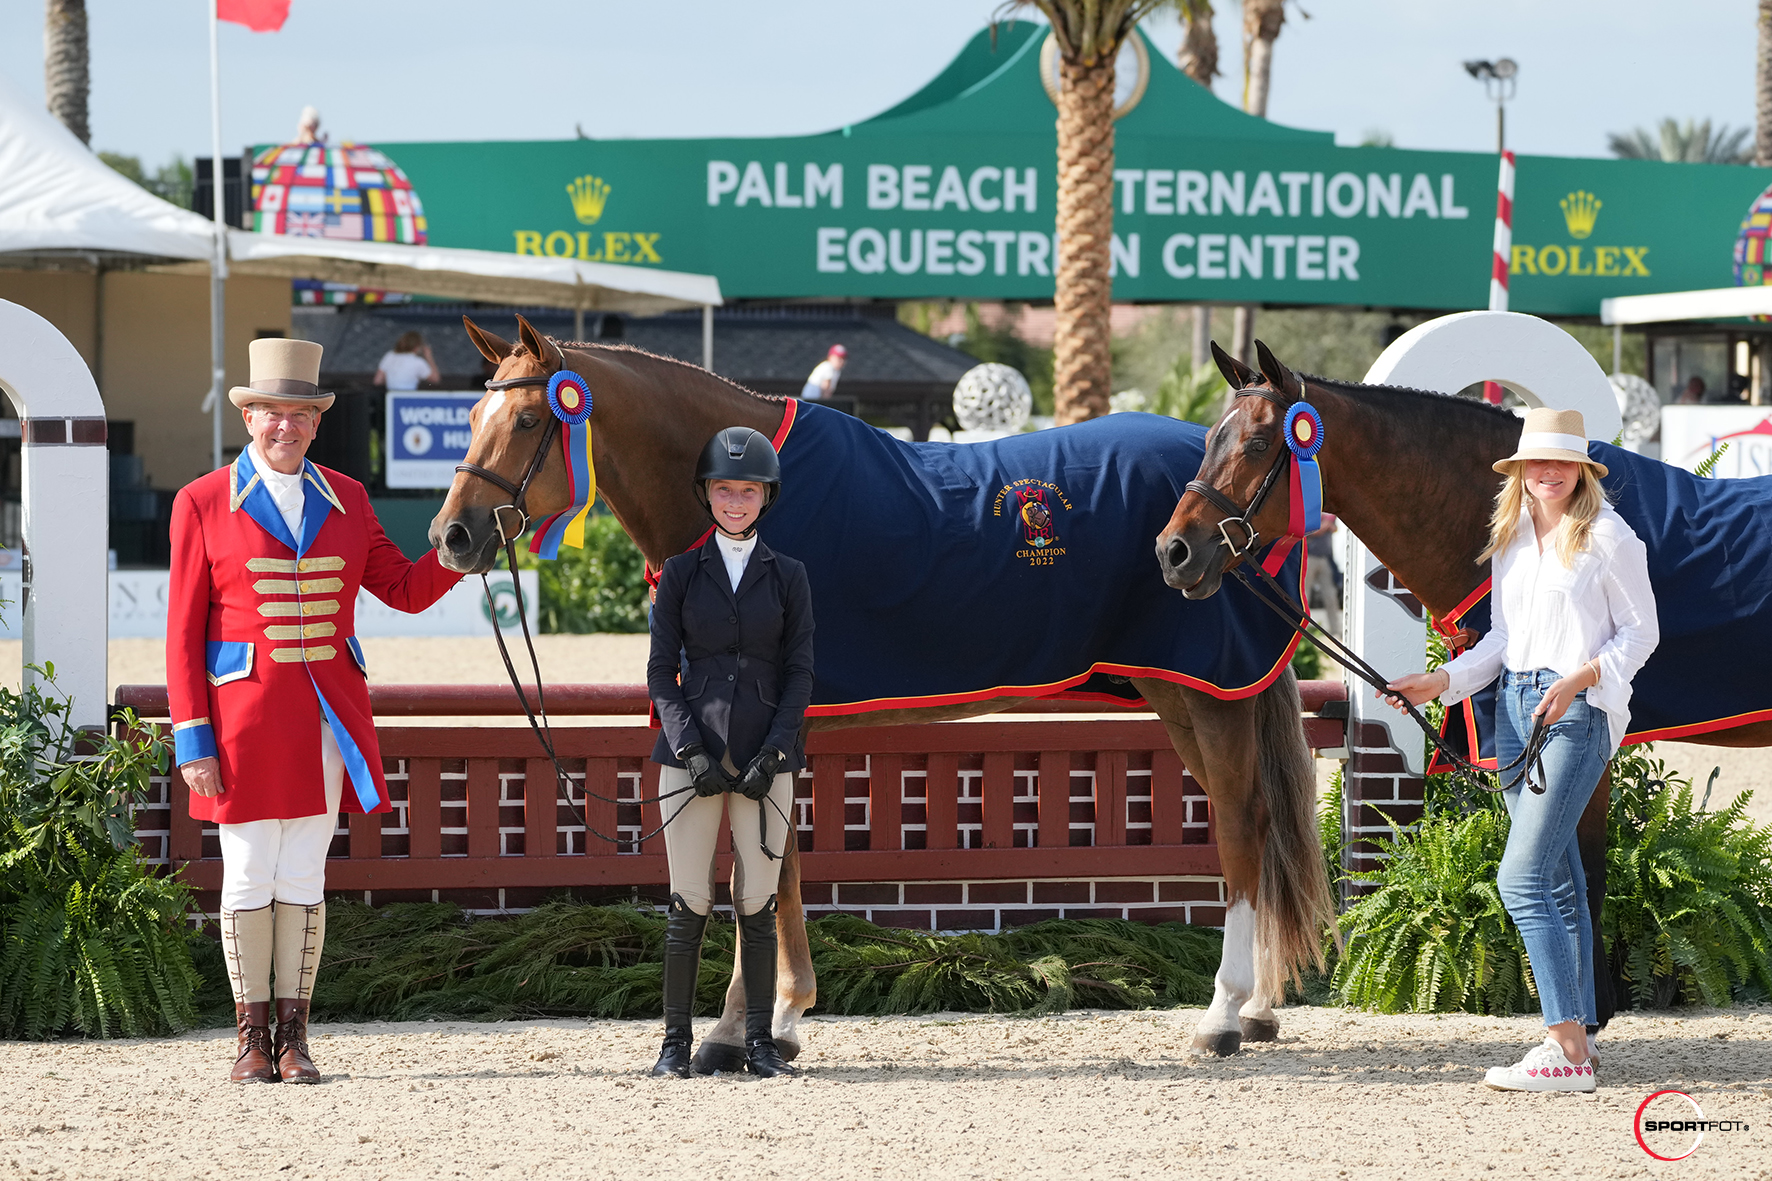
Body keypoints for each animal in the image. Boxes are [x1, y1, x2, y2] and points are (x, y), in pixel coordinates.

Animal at [428, 312, 1332, 1056]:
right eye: (469, 419)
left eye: (531, 419)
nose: (452, 534)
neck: (751, 504)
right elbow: (779, 865)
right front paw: (783, 1016)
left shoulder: (773, 720)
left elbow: (757, 872)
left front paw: (742, 1027)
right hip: (1189, 693)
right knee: (1253, 826)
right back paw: (1259, 1009)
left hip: (1201, 689)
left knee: (1242, 826)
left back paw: (1224, 1014)